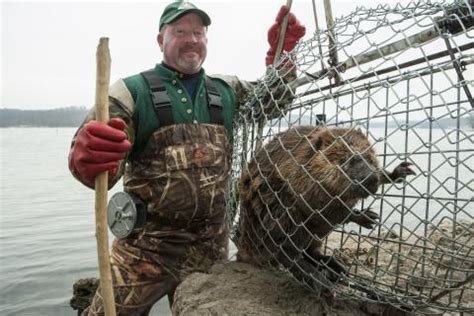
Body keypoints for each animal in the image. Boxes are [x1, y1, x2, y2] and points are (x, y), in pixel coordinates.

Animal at [237, 125, 414, 288]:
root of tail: (245, 248)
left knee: (309, 251)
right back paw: (320, 281)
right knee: (285, 250)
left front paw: (399, 172)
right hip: (274, 207)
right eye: (346, 160)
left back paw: (335, 268)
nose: (370, 179)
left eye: (369, 158)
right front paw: (366, 217)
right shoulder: (298, 177)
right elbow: (317, 208)